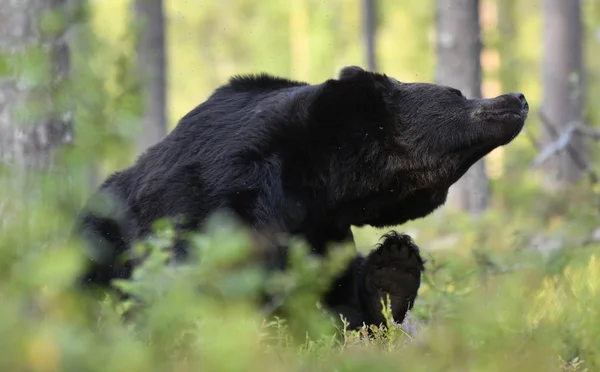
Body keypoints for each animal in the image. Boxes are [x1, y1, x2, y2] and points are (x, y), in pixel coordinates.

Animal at [72, 65, 528, 330]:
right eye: (455, 93)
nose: (517, 97)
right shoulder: (210, 205)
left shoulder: (321, 229)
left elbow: (342, 301)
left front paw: (393, 267)